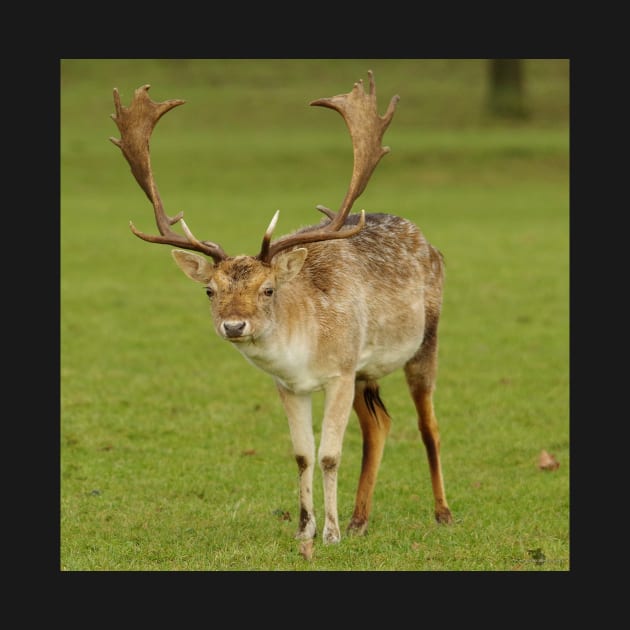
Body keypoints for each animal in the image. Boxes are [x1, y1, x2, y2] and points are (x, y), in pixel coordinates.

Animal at [110, 71, 454, 548]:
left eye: (269, 289)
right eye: (210, 291)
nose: (235, 325)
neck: (303, 353)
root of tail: (428, 242)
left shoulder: (339, 372)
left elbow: (329, 455)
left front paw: (330, 534)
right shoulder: (291, 385)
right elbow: (303, 455)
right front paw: (305, 528)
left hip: (425, 340)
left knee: (429, 425)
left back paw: (442, 514)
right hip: (365, 371)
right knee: (379, 424)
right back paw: (360, 520)